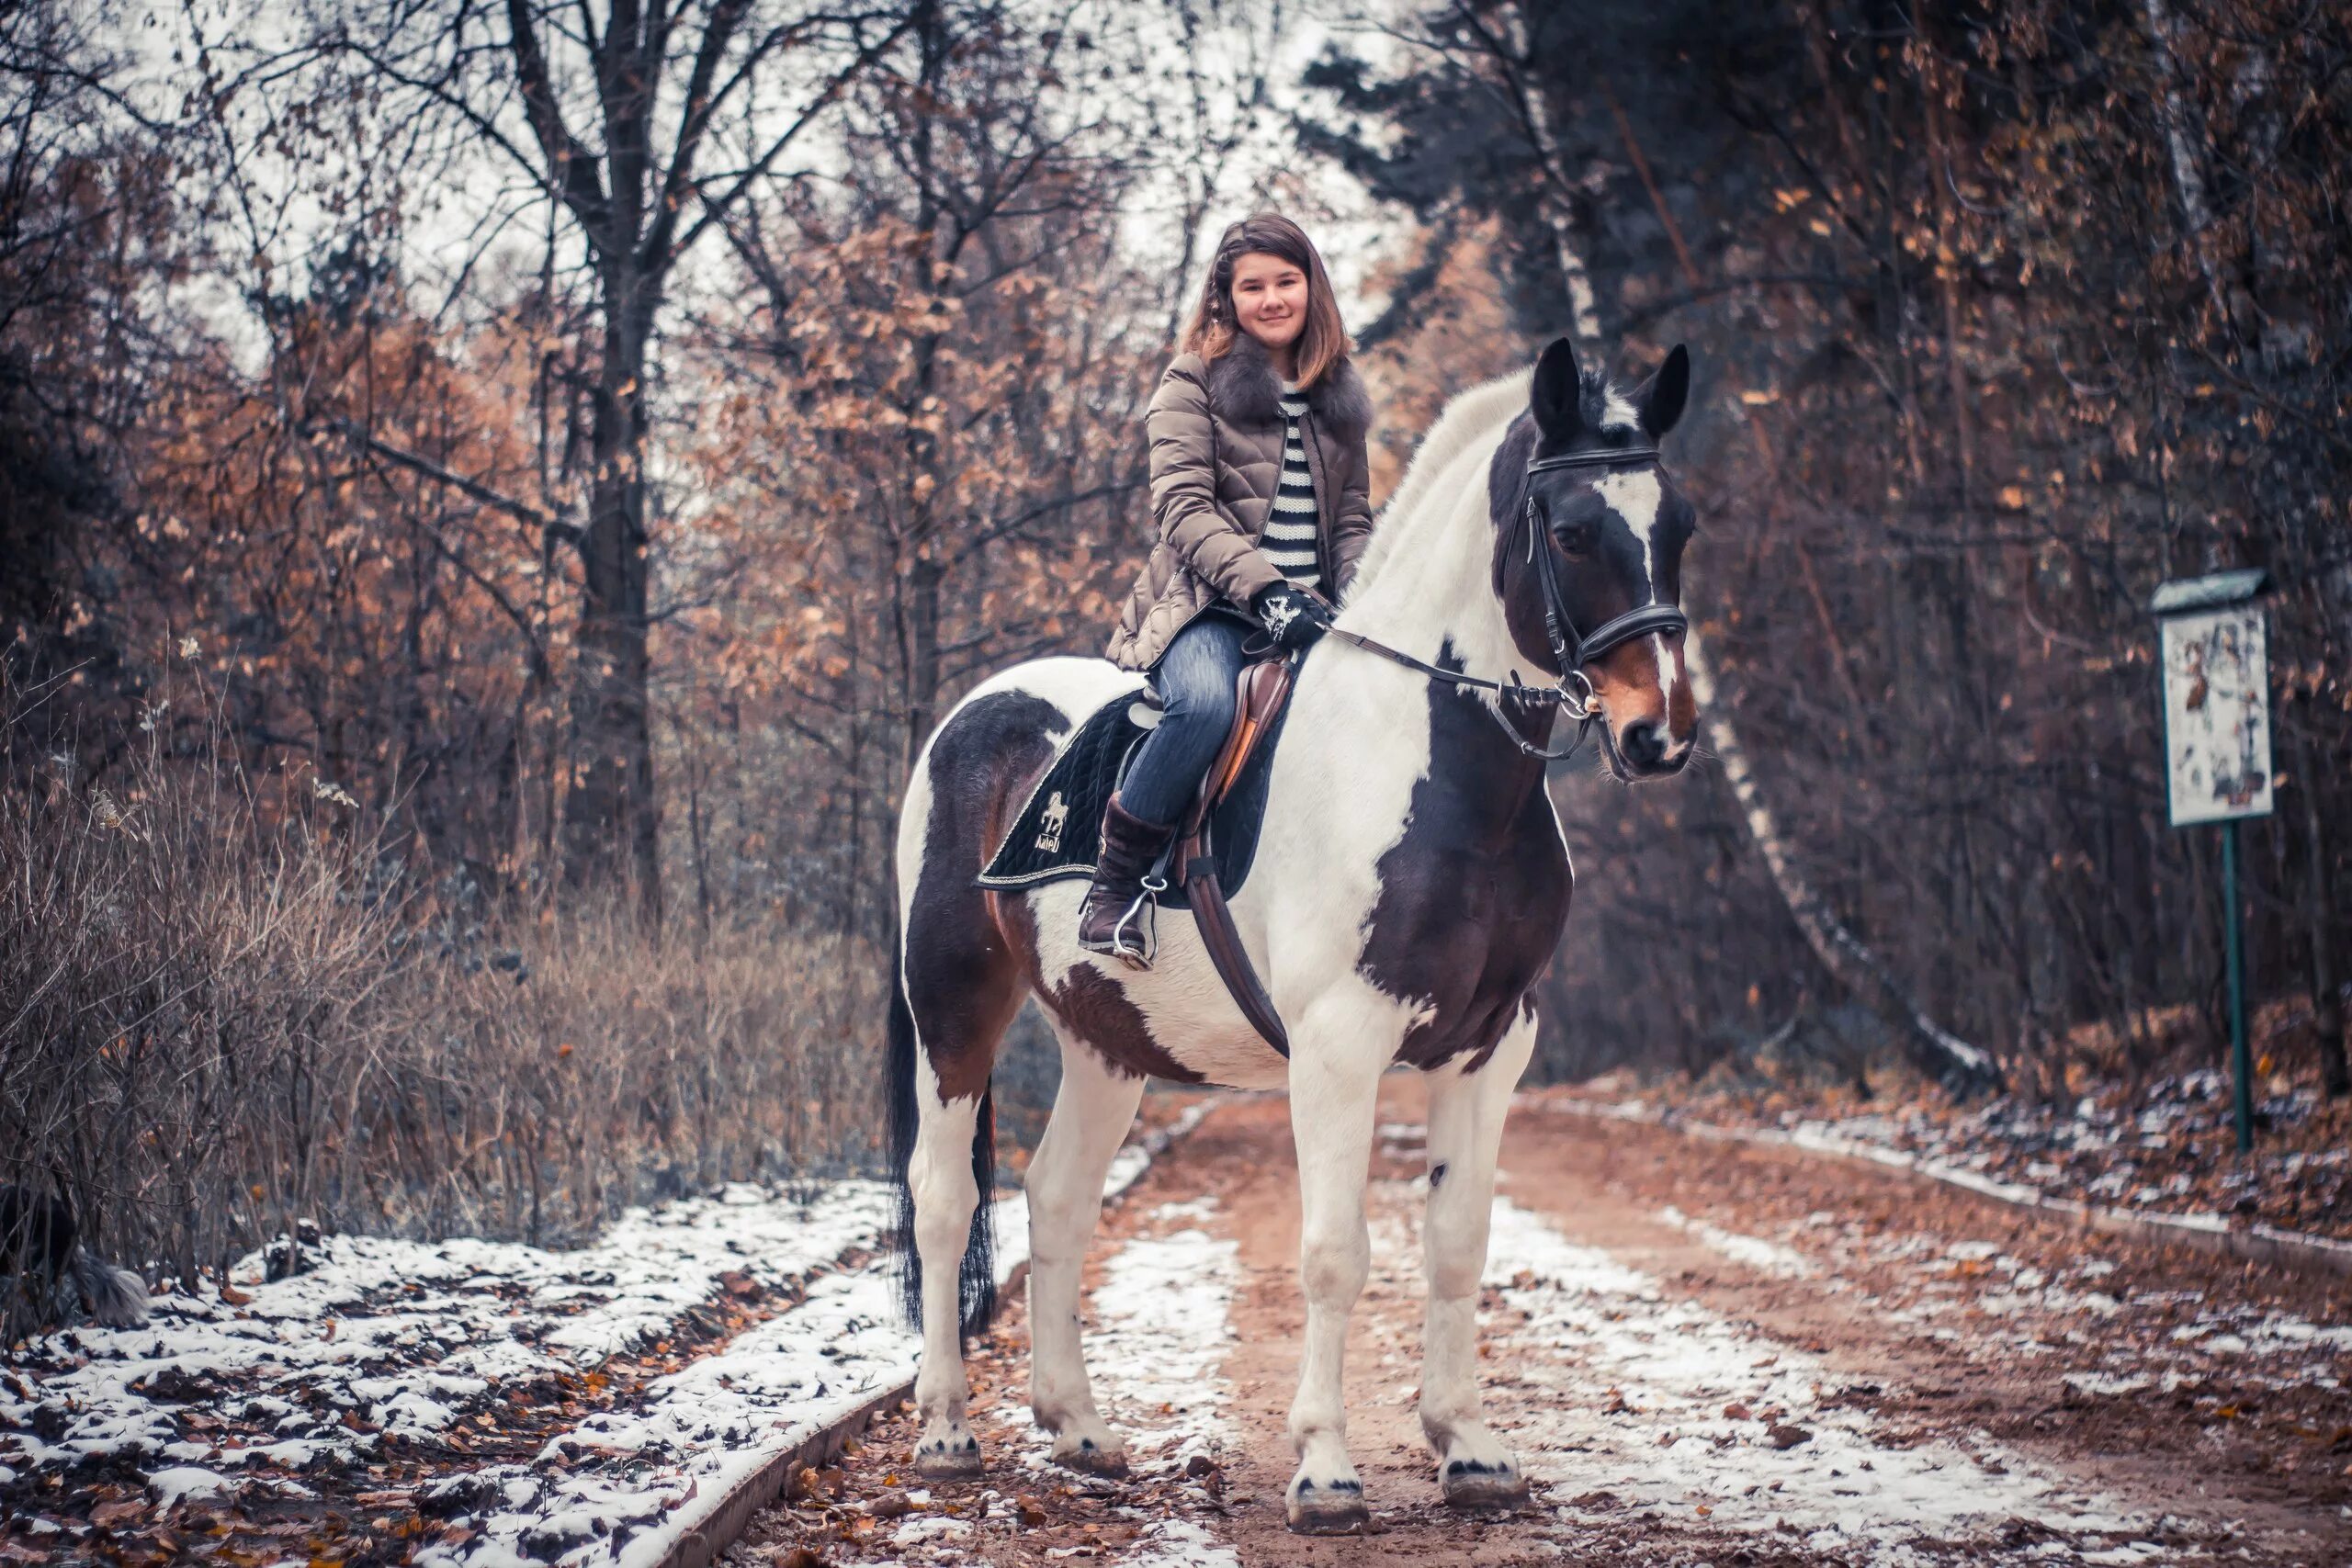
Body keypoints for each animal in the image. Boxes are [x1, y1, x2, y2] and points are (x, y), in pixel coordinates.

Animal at [893, 333, 1693, 1532]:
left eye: (1678, 524)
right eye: (1570, 531)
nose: (1659, 735)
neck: (1436, 767)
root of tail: (974, 712)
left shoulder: (1492, 1049)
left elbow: (1456, 1245)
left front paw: (1471, 1450)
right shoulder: (1338, 1047)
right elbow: (1332, 1254)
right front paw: (1324, 1469)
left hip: (1106, 1042)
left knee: (1057, 1202)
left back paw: (1079, 1430)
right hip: (952, 1006)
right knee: (944, 1203)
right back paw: (946, 1430)